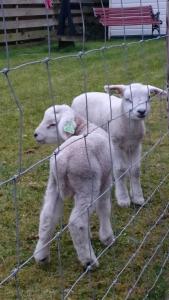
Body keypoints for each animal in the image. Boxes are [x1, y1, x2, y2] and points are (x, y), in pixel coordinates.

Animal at [33, 103, 113, 268]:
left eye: (52, 124)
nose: (35, 134)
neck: (84, 127)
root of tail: (62, 161)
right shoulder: (106, 179)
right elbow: (104, 207)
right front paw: (107, 238)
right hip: (87, 183)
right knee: (77, 222)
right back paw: (89, 261)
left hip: (55, 184)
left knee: (47, 217)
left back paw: (41, 256)